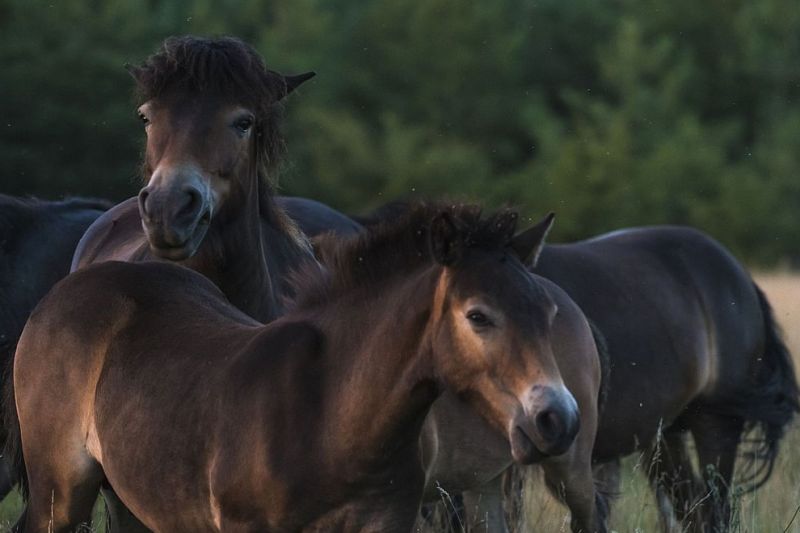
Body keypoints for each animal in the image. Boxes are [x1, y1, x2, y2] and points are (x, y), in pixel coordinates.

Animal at [12, 203, 584, 532]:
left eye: (549, 312)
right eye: (478, 316)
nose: (558, 419)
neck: (333, 416)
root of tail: (59, 294)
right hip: (61, 492)